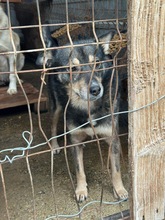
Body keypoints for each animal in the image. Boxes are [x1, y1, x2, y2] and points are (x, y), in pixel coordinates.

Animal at [36, 24, 128, 202]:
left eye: (97, 64)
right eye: (72, 69)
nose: (96, 89)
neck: (88, 108)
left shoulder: (113, 138)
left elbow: (116, 170)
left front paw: (119, 190)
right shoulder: (75, 140)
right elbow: (79, 170)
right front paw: (80, 190)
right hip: (57, 107)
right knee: (53, 125)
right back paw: (54, 145)